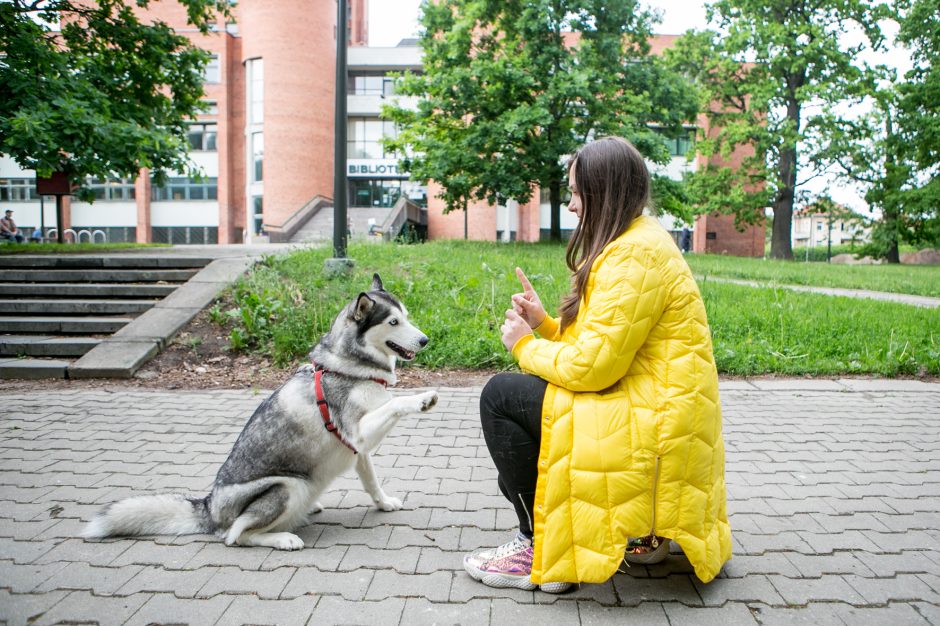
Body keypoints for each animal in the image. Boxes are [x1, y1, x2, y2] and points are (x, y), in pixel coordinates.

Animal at [84, 272, 436, 544]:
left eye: (406, 316)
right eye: (393, 321)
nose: (425, 340)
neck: (349, 367)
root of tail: (209, 508)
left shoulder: (356, 448)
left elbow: (371, 480)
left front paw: (384, 503)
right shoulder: (358, 432)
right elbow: (394, 403)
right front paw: (421, 399)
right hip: (287, 486)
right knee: (236, 536)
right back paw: (282, 538)